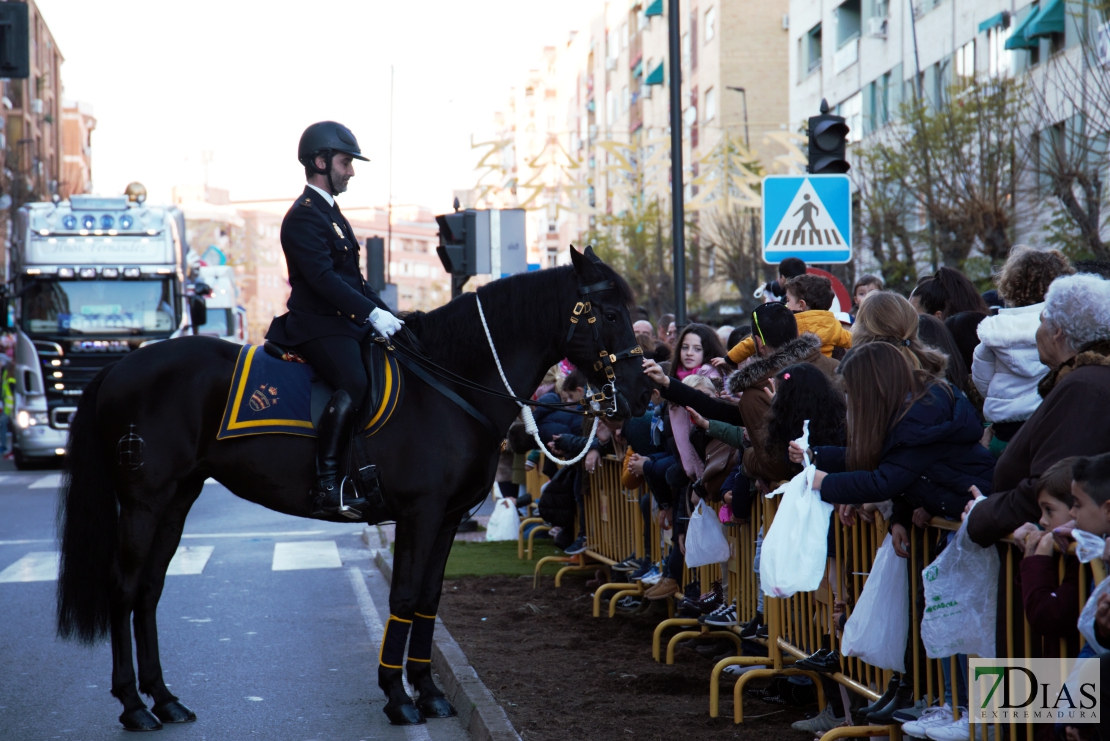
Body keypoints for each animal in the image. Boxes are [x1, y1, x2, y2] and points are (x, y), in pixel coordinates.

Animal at [56, 247, 652, 727]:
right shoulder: (420, 514)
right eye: (611, 313)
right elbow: (405, 595)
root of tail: (121, 367)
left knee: (150, 590)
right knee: (125, 588)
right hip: (143, 501)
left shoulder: (449, 518)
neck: (448, 384)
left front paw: (428, 691)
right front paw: (398, 695)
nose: (644, 391)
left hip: (177, 498)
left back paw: (164, 699)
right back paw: (134, 706)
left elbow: (429, 598)